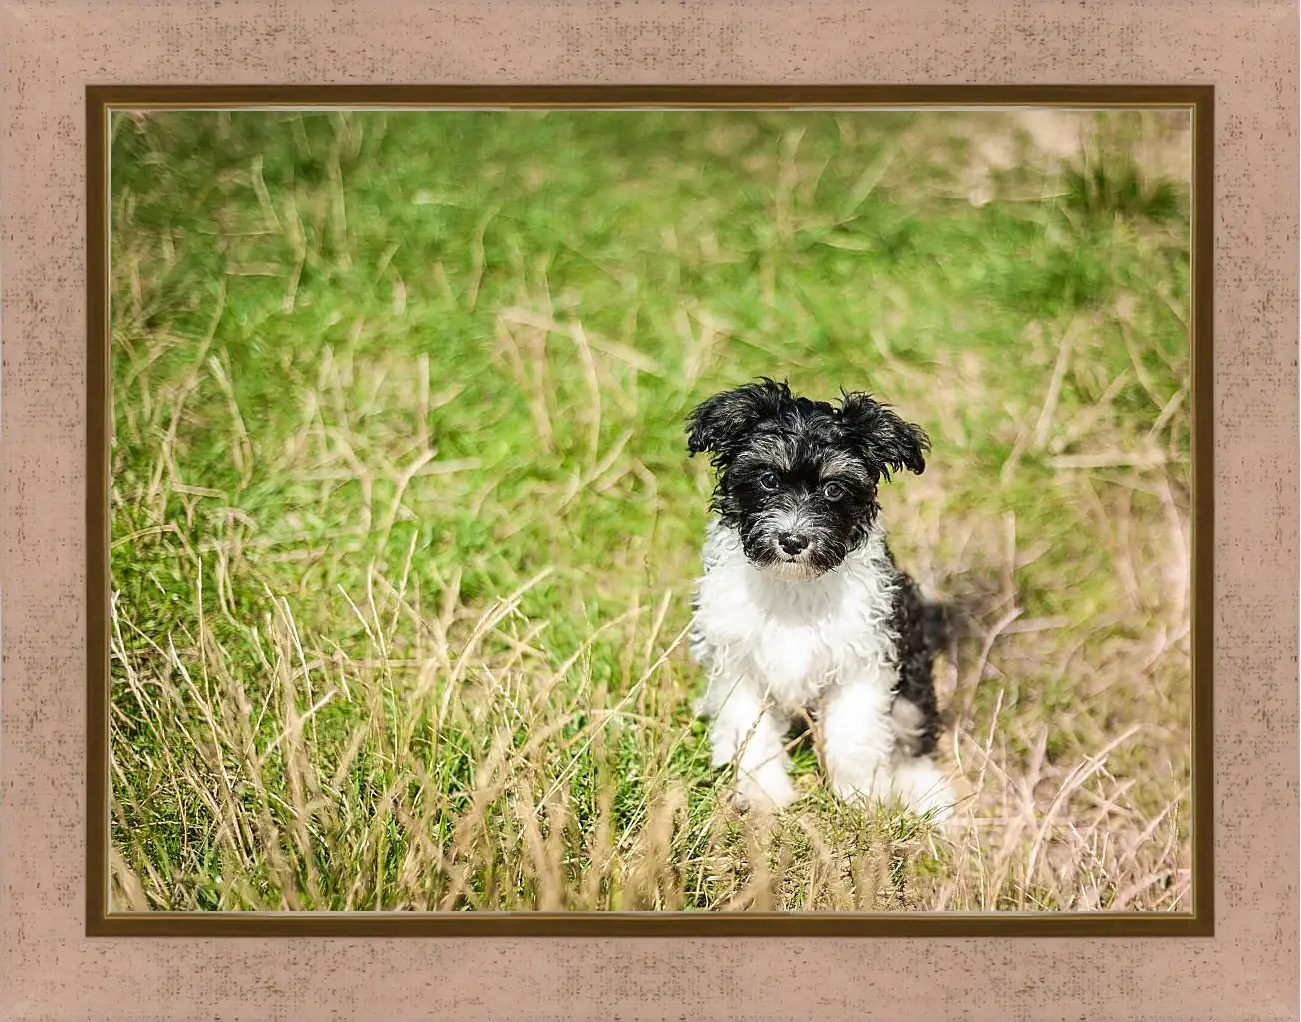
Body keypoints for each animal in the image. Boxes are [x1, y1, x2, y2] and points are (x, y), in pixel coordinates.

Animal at [681, 377, 957, 816]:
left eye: (833, 488)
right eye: (768, 479)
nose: (793, 541)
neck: (795, 585)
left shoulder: (864, 657)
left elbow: (855, 736)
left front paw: (862, 799)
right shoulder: (738, 661)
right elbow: (752, 732)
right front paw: (764, 796)